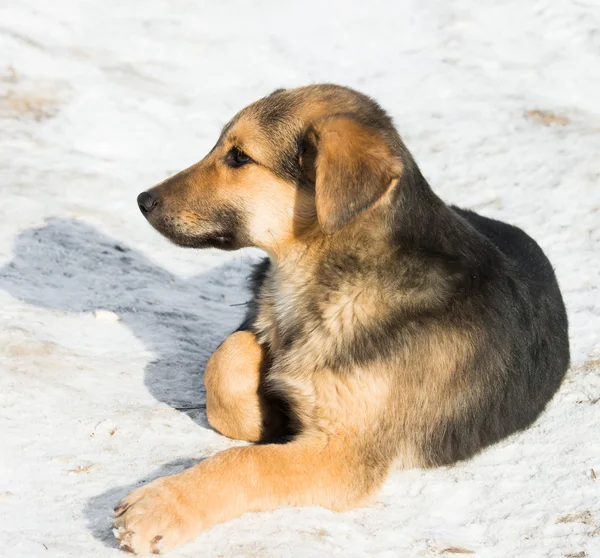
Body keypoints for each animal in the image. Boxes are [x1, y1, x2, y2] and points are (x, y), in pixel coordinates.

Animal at [111, 84, 568, 556]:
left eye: (239, 157)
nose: (143, 201)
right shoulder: (263, 320)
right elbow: (225, 360)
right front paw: (268, 417)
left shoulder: (344, 454)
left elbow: (249, 461)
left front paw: (164, 505)